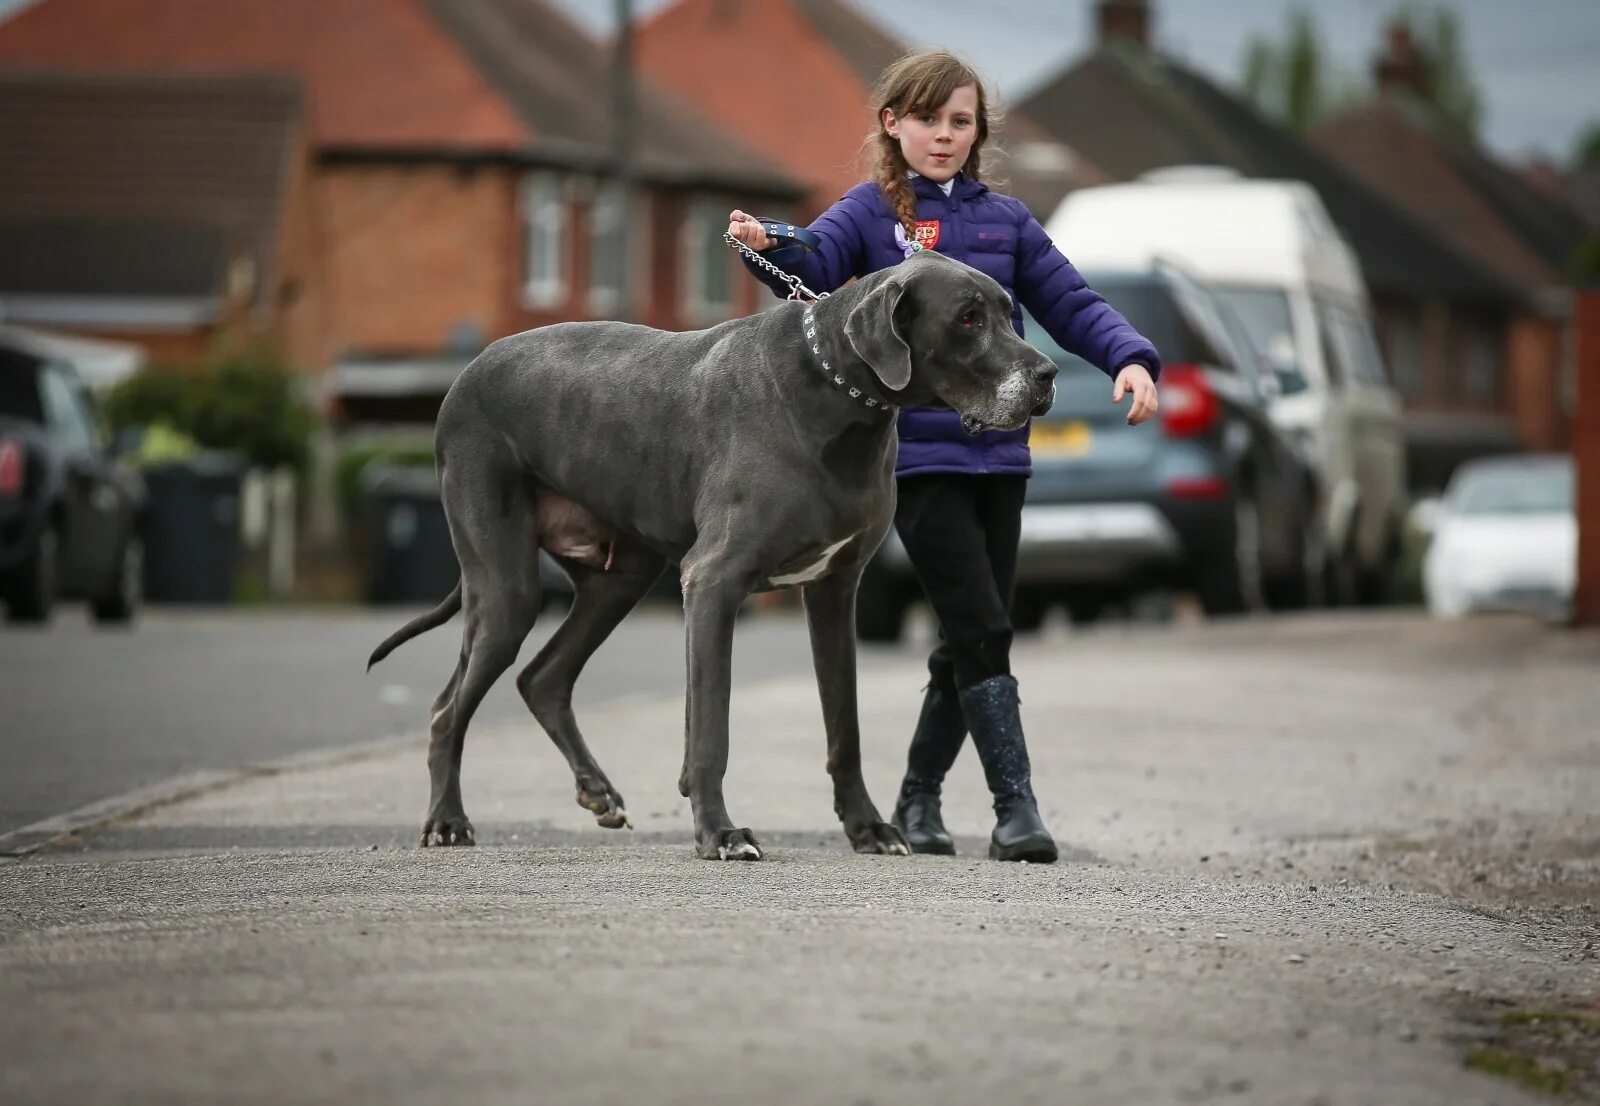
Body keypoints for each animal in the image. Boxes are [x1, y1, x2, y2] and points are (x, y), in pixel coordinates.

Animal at [366, 252, 1056, 864]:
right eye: (969, 318)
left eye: (1007, 309)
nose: (1047, 373)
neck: (838, 395)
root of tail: (466, 372)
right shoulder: (713, 582)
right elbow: (711, 729)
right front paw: (720, 834)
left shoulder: (834, 590)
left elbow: (845, 727)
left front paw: (867, 828)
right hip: (506, 586)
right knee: (447, 709)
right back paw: (447, 822)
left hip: (623, 577)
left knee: (543, 677)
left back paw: (597, 791)